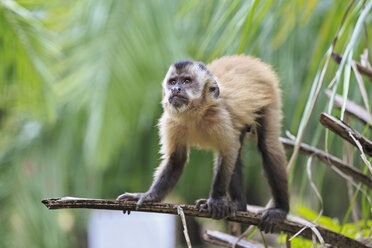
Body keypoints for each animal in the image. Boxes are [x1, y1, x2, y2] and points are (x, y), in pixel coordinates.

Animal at [117, 55, 290, 233]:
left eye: (187, 81)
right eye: (172, 82)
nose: (176, 89)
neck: (194, 114)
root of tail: (253, 62)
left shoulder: (219, 115)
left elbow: (229, 151)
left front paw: (217, 201)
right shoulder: (170, 122)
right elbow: (176, 160)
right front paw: (149, 196)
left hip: (269, 92)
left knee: (268, 146)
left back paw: (279, 210)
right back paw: (239, 205)